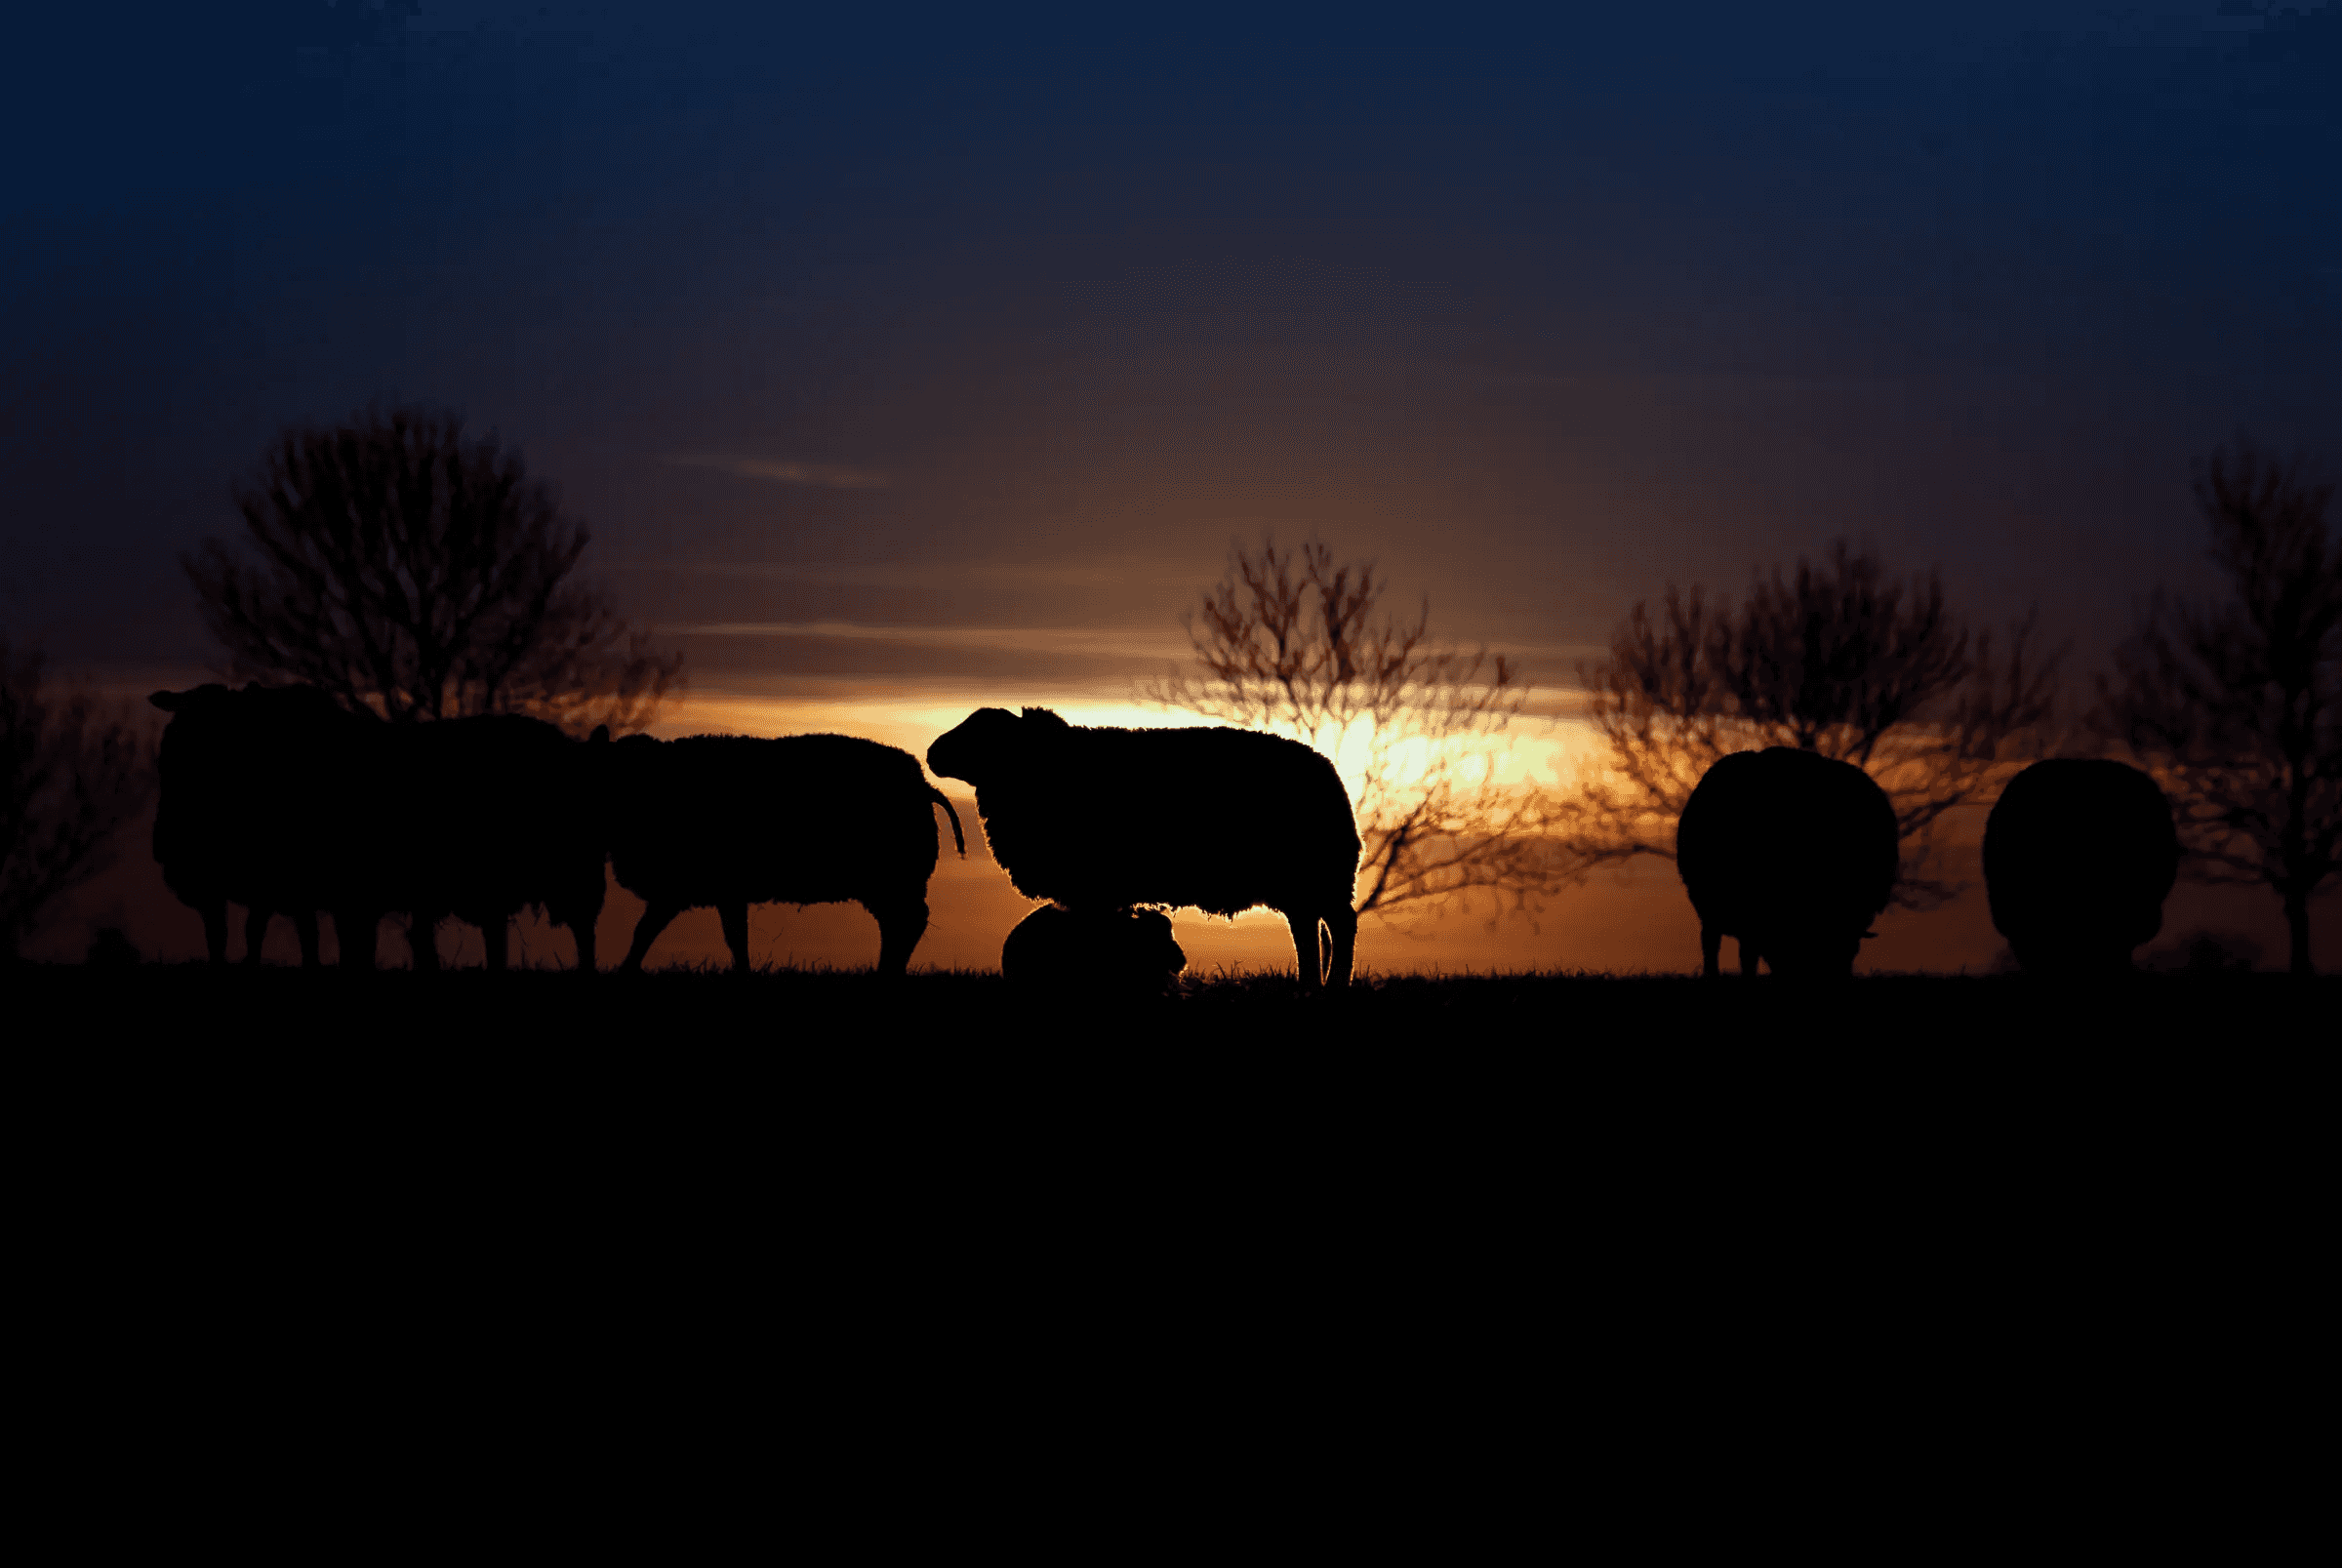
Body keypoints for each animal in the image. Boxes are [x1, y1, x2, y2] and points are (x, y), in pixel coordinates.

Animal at [604, 732, 965, 975]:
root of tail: (922, 784)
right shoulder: (721, 891)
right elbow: (733, 936)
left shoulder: (681, 889)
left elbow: (647, 931)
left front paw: (625, 971)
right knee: (899, 923)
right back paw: (887, 969)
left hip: (893, 879)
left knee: (908, 921)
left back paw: (888, 971)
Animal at [925, 707, 1361, 988]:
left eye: (984, 731)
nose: (931, 752)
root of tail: (1328, 770)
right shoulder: (1100, 894)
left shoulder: (1093, 889)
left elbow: (1095, 936)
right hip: (1303, 882)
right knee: (1308, 928)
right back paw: (1309, 985)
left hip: (1321, 874)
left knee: (1341, 924)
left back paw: (1335, 985)